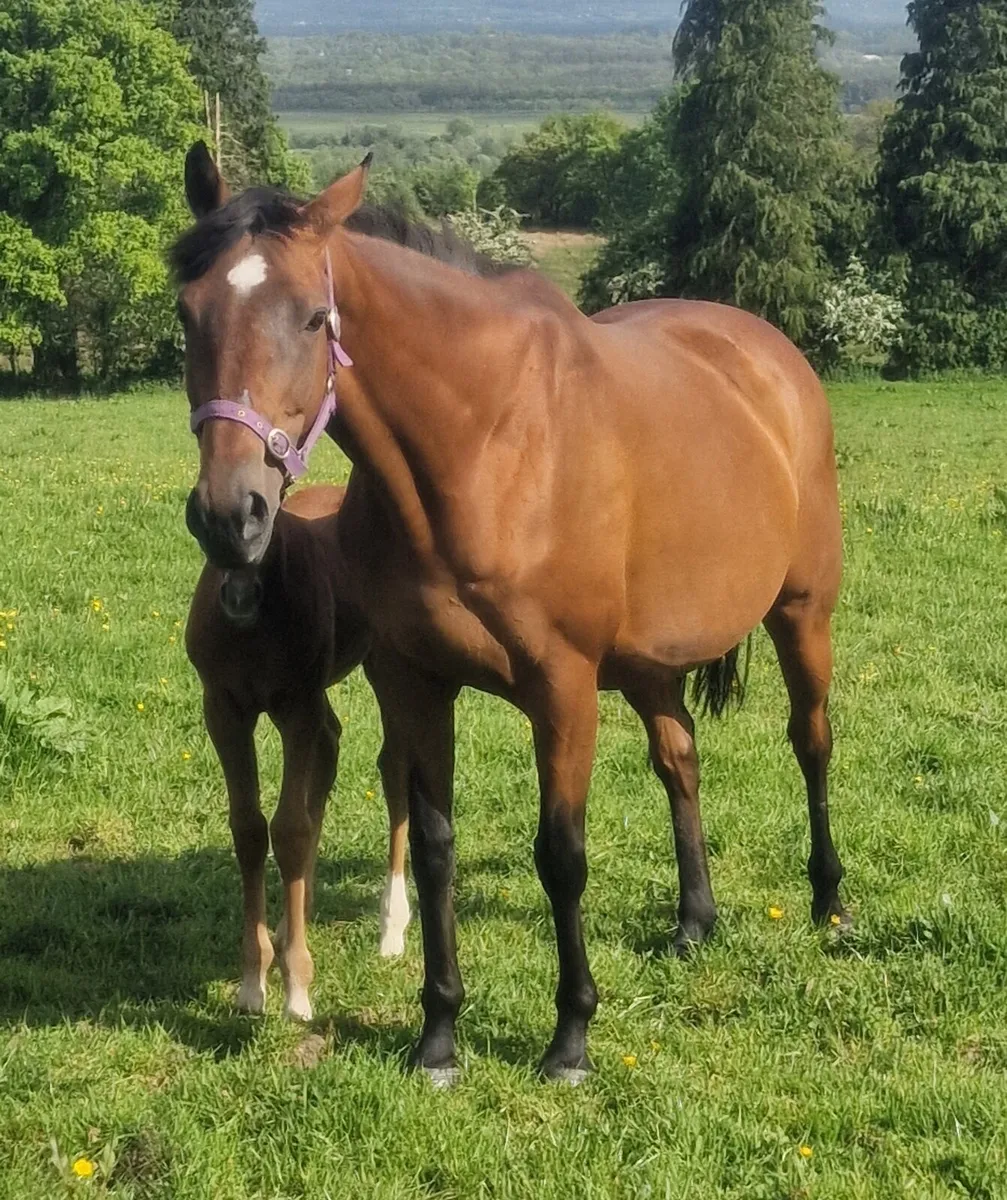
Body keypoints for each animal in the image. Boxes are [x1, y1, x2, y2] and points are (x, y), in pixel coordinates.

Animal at [186, 483, 409, 1023]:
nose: (239, 596)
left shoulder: (296, 707)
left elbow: (289, 829)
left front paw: (296, 987)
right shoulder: (223, 710)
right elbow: (249, 829)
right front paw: (253, 982)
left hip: (385, 663)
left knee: (394, 767)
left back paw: (392, 926)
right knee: (331, 745)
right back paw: (297, 918)